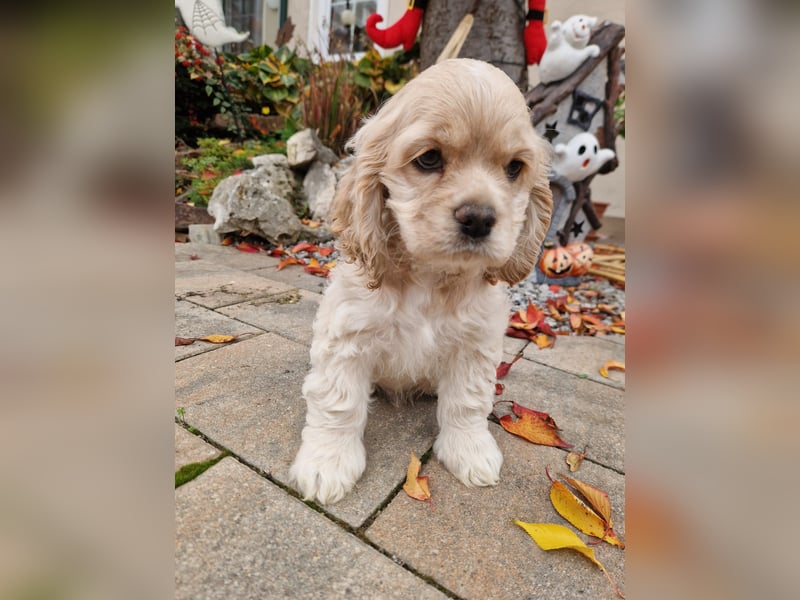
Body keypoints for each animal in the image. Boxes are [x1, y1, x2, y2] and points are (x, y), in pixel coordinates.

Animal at [290, 58, 552, 504]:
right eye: (429, 159)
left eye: (514, 167)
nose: (479, 218)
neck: (430, 277)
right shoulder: (347, 335)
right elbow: (338, 401)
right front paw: (327, 465)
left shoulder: (475, 344)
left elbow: (467, 402)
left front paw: (471, 453)